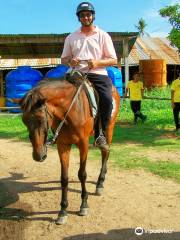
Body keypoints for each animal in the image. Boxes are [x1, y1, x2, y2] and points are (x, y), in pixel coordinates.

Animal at [17, 77, 119, 225]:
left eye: (41, 119)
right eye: (24, 121)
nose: (38, 155)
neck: (70, 110)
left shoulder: (83, 144)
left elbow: (82, 174)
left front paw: (83, 205)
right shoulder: (63, 145)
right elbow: (64, 178)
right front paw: (63, 211)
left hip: (109, 128)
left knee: (105, 153)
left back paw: (100, 183)